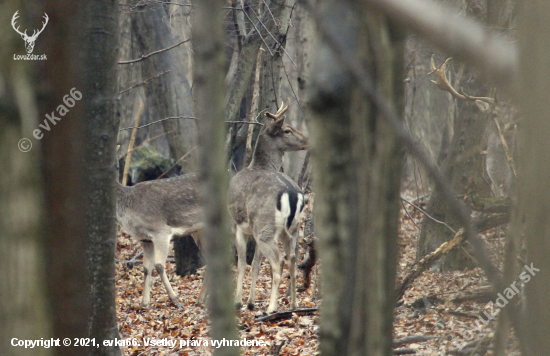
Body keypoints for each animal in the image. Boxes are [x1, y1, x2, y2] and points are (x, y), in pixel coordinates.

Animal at [116, 173, 205, 308]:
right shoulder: (146, 240)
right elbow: (146, 268)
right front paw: (144, 303)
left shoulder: (160, 231)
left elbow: (158, 265)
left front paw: (176, 300)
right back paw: (201, 300)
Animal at [229, 98, 310, 312]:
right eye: (287, 130)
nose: (308, 140)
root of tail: (292, 194)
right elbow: (256, 263)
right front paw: (250, 302)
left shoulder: (238, 225)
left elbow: (242, 263)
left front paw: (238, 302)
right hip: (290, 229)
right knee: (292, 258)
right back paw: (293, 304)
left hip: (265, 227)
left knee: (278, 261)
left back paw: (271, 307)